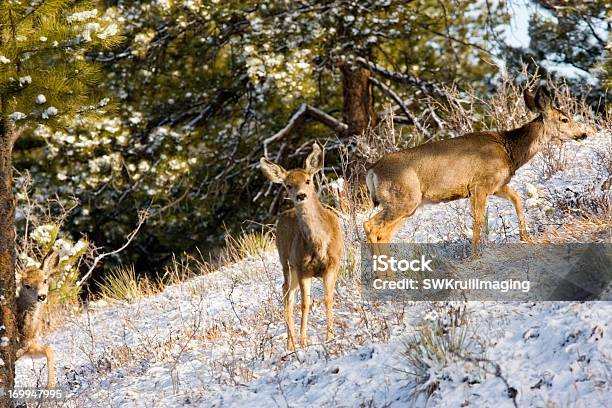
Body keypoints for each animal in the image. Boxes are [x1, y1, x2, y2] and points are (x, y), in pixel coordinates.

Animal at [15, 250, 60, 388]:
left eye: (45, 280)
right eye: (27, 285)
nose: (42, 296)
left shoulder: (28, 347)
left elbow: (49, 349)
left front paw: (49, 386)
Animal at [260, 143, 344, 350]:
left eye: (308, 180)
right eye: (288, 185)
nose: (301, 195)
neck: (319, 244)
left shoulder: (333, 264)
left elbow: (328, 299)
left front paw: (330, 337)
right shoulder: (302, 268)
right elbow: (306, 303)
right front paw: (304, 341)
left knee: (288, 292)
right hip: (286, 262)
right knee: (287, 294)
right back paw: (291, 344)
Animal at [364, 83, 588, 252]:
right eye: (564, 119)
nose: (583, 134)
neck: (509, 150)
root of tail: (372, 170)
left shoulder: (497, 185)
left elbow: (517, 199)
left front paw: (525, 238)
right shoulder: (480, 185)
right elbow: (479, 220)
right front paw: (475, 253)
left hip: (408, 205)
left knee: (383, 234)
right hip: (403, 199)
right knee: (371, 226)